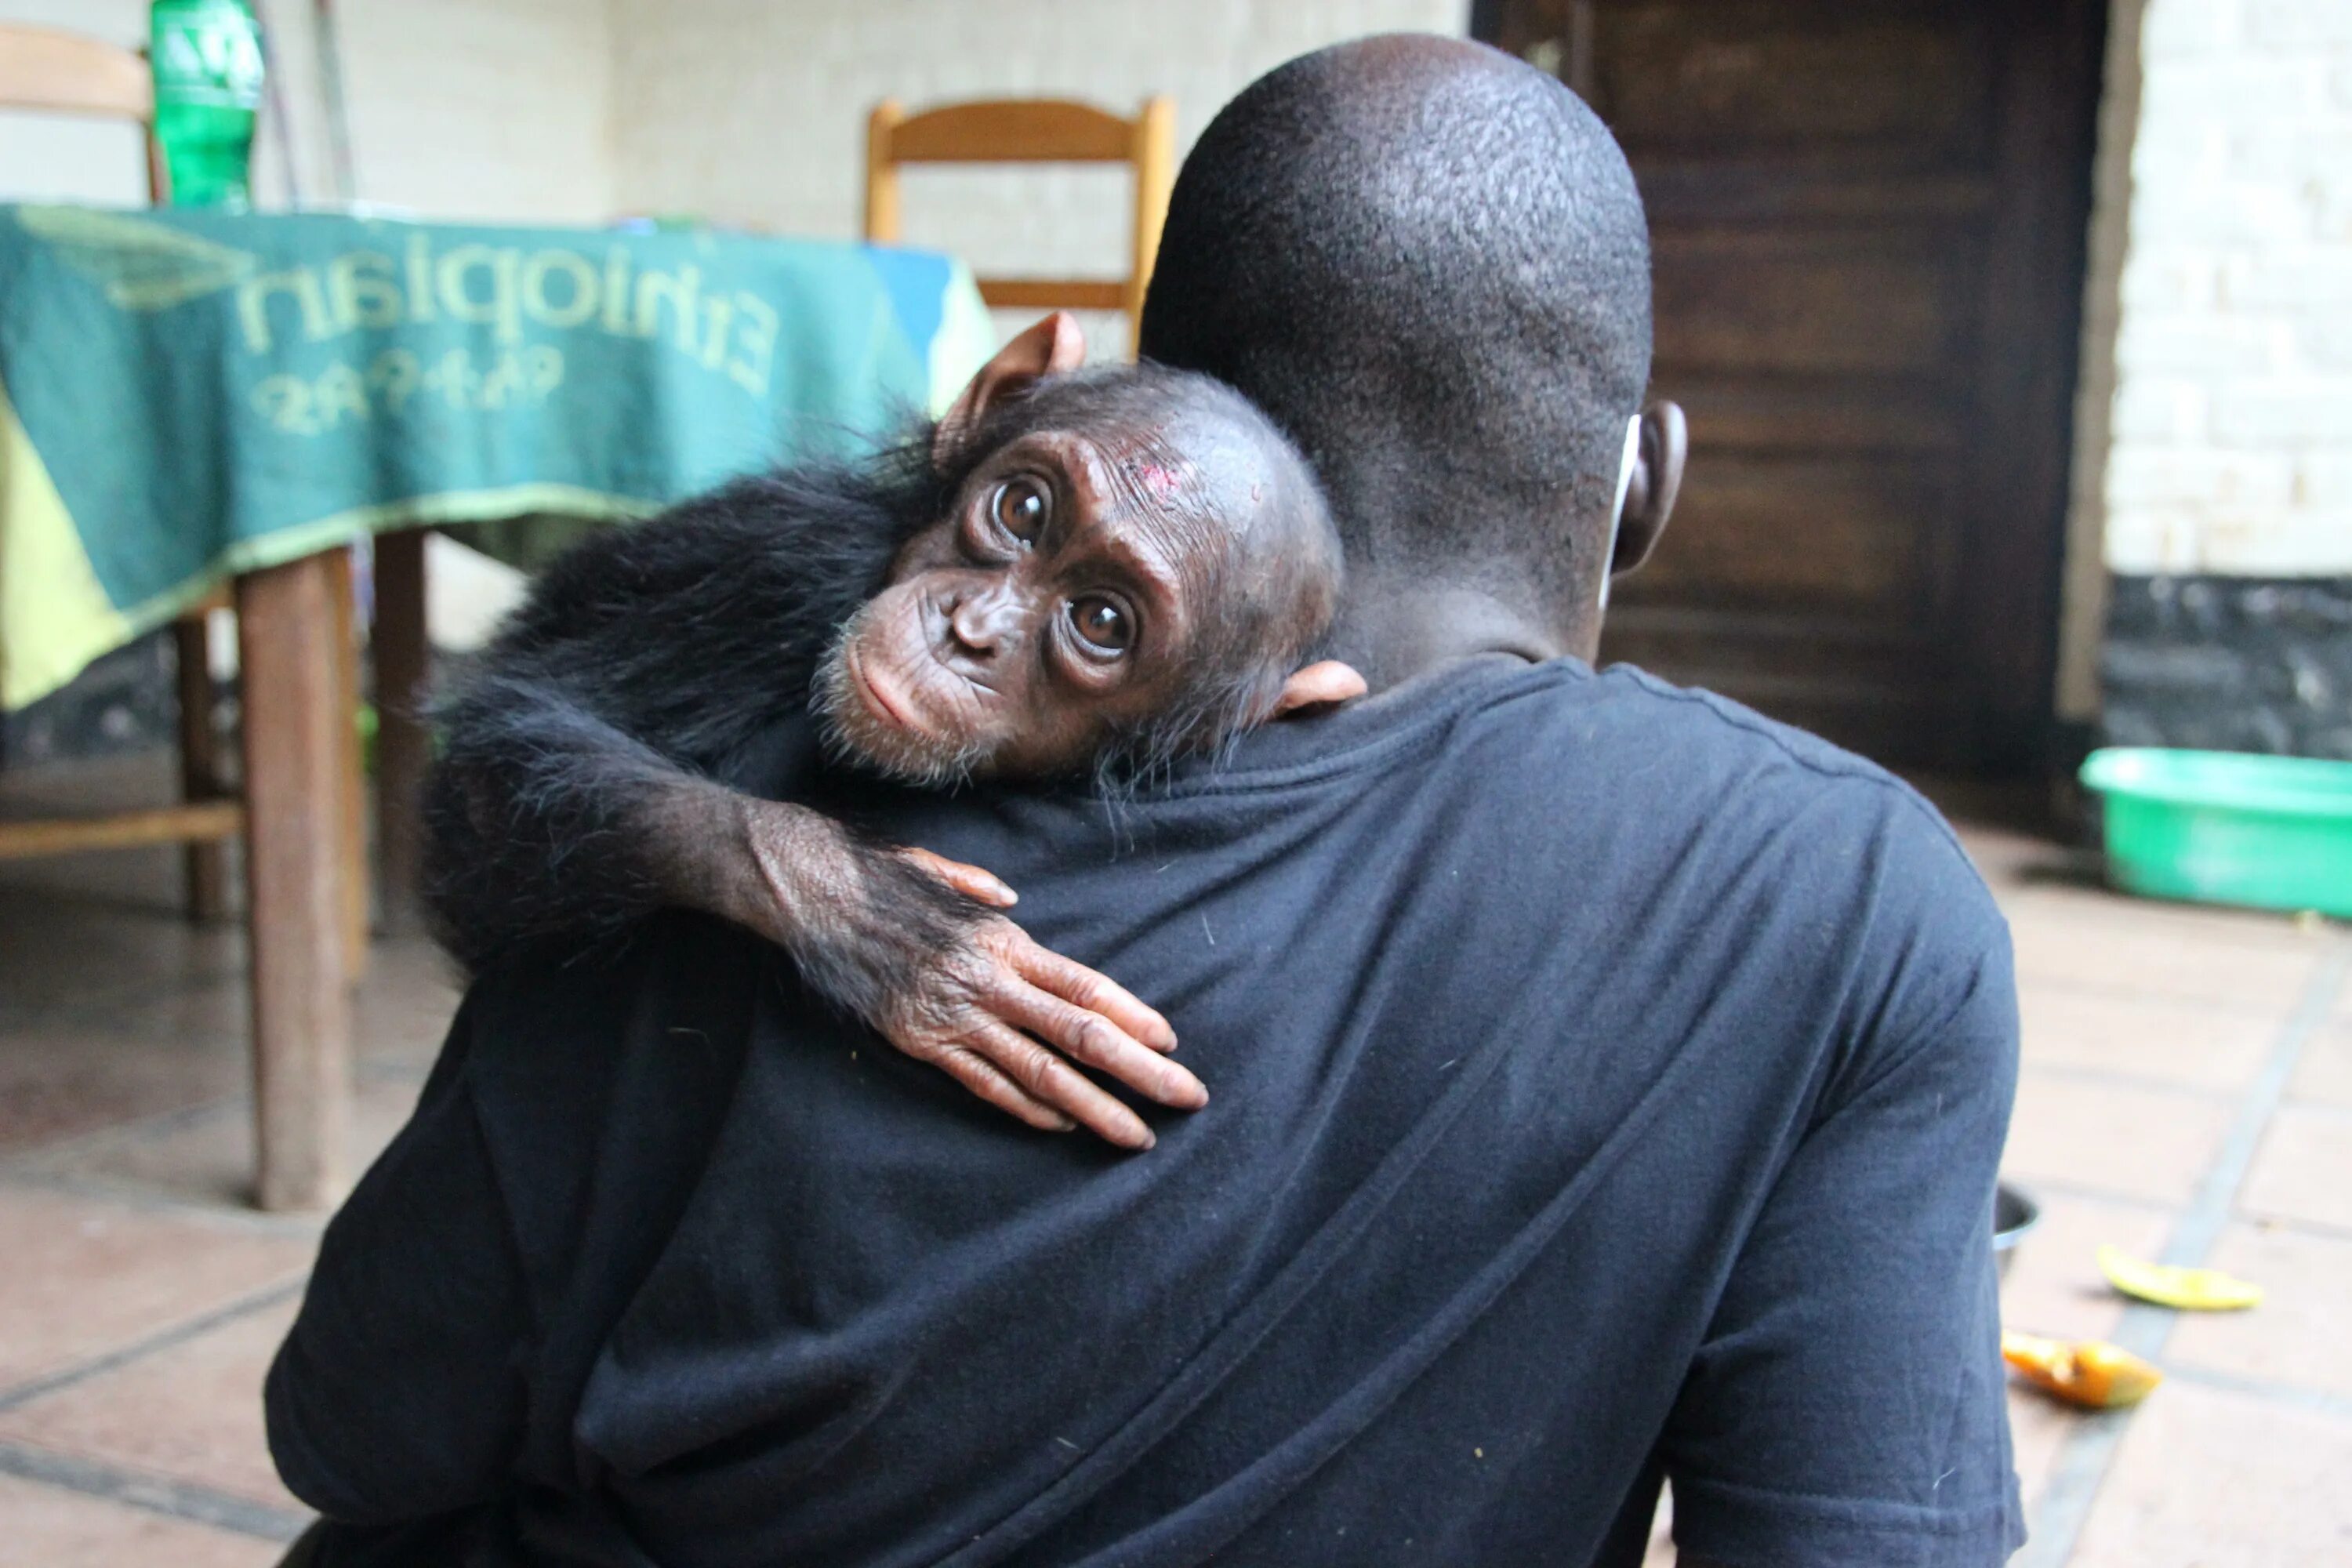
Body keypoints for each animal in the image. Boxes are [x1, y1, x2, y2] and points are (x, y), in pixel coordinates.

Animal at [428, 314, 1364, 1152]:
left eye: (1101, 619)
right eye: (1023, 507)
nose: (971, 631)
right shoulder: (769, 562)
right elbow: (493, 754)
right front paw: (892, 924)